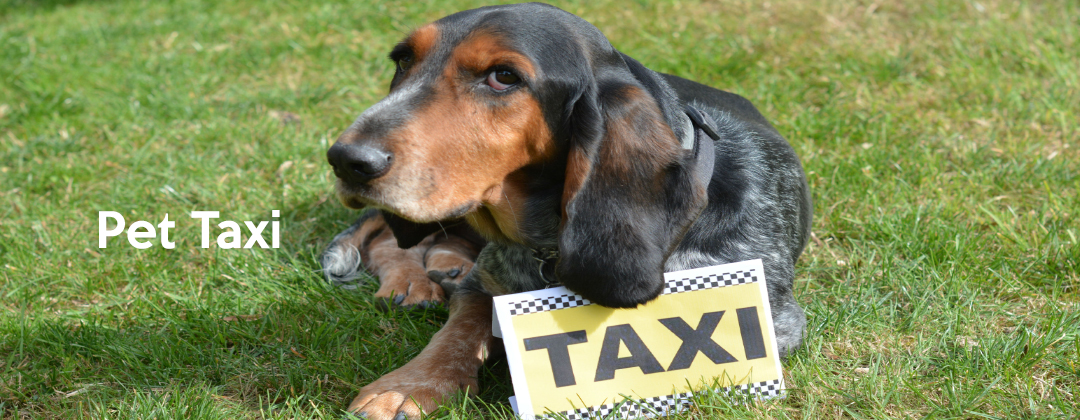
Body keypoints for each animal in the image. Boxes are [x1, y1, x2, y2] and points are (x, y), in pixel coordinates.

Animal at [319, 3, 812, 414]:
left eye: (503, 76)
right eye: (403, 60)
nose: (347, 159)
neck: (545, 245)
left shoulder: (777, 325)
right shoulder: (482, 286)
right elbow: (455, 334)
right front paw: (409, 385)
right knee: (391, 235)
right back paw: (411, 281)